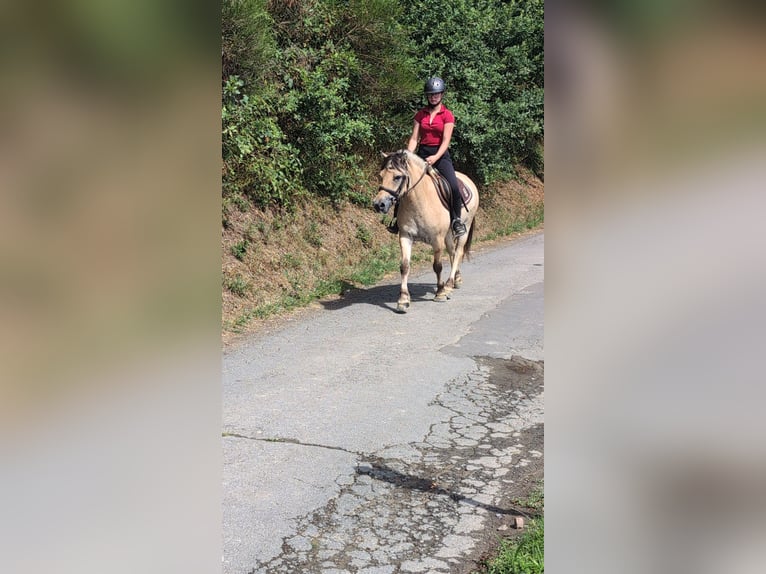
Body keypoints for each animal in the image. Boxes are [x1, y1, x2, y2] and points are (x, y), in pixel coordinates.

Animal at [373, 149, 479, 313]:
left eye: (397, 177)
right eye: (381, 175)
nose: (379, 205)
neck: (419, 200)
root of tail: (468, 180)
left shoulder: (437, 239)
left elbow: (437, 266)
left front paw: (440, 292)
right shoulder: (405, 236)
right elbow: (404, 266)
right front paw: (403, 300)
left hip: (463, 230)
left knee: (458, 253)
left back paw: (448, 285)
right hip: (448, 234)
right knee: (452, 252)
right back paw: (456, 280)